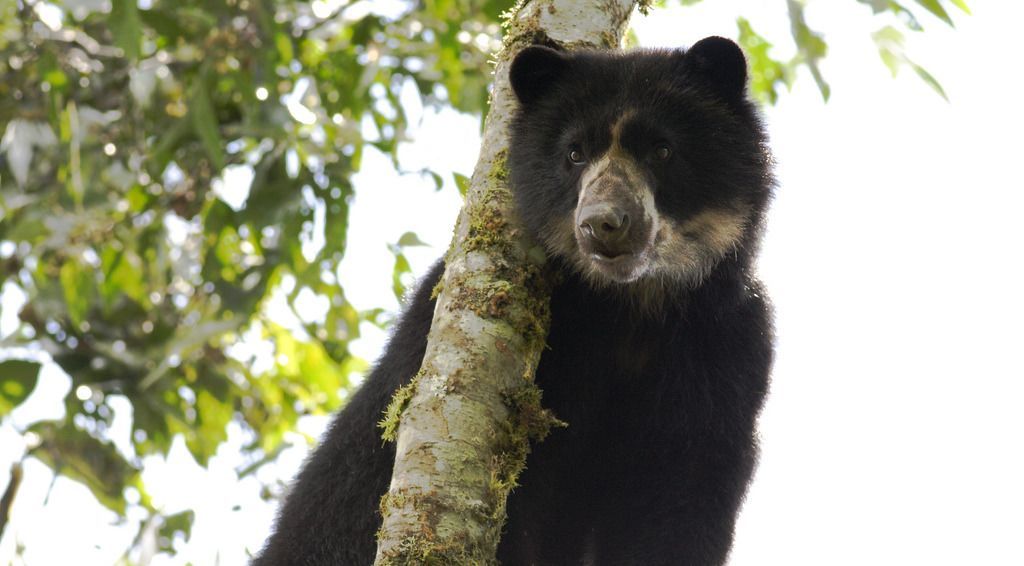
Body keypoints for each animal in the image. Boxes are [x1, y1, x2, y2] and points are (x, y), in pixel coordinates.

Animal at [254, 36, 774, 566]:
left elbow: (680, 495)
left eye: (662, 149)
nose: (603, 223)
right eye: (574, 154)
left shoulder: (727, 349)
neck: (629, 305)